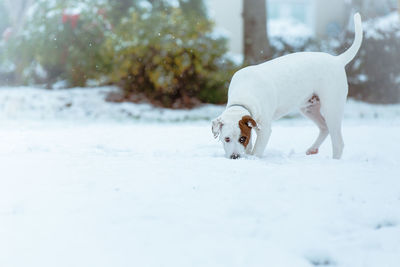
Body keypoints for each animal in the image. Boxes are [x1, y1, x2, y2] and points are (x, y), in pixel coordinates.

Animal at [212, 13, 362, 159]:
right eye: (226, 139)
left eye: (242, 138)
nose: (235, 156)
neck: (244, 95)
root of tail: (337, 60)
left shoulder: (264, 129)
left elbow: (257, 151)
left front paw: (253, 158)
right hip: (309, 108)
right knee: (324, 127)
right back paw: (313, 149)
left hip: (332, 107)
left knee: (338, 142)